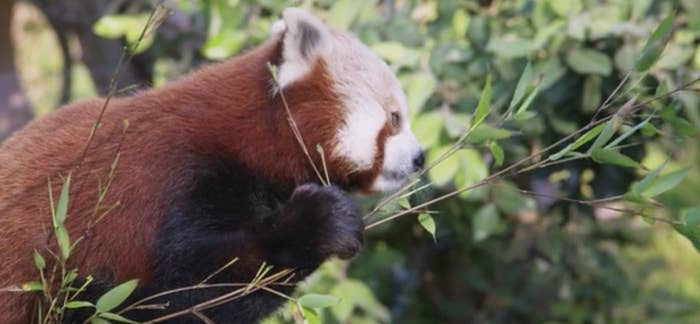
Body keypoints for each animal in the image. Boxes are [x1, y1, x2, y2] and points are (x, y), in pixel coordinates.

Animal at [0, 8, 424, 324]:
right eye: (395, 119)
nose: (420, 157)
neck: (243, 141)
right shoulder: (168, 180)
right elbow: (184, 289)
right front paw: (320, 223)